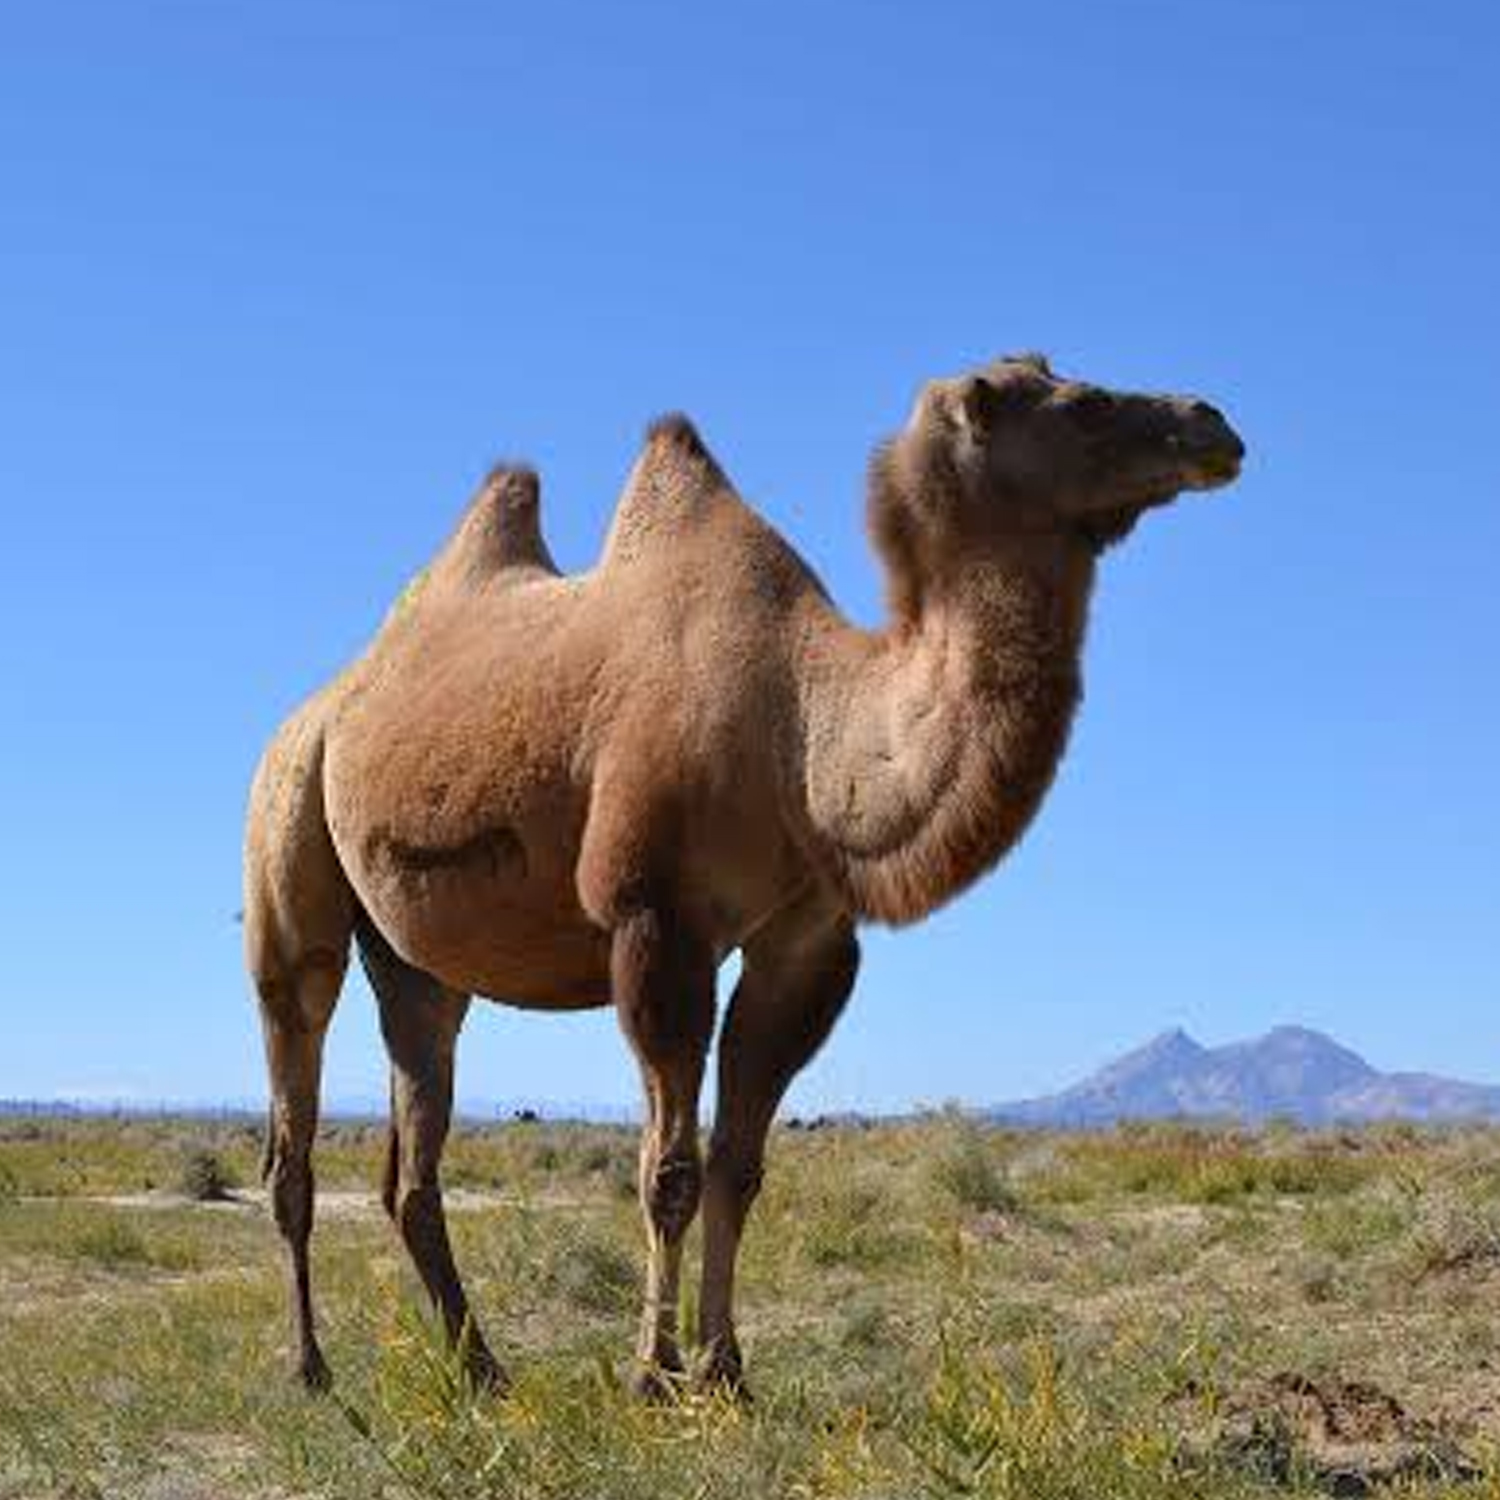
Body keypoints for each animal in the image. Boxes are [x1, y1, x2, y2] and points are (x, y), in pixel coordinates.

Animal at [243, 353, 1244, 1396]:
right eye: (1083, 405)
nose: (1213, 422)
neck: (800, 725)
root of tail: (325, 703)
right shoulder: (656, 919)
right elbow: (668, 1170)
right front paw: (652, 1373)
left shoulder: (804, 945)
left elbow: (740, 1165)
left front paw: (726, 1370)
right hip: (287, 827)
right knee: (293, 1099)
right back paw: (312, 1369)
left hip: (417, 958)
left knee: (413, 1143)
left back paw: (483, 1368)